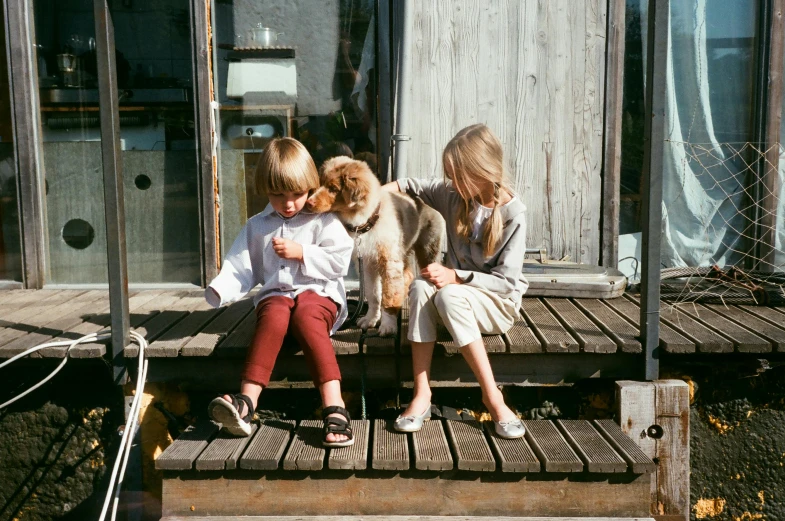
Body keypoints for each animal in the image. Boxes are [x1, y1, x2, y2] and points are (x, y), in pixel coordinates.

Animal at [304, 156, 440, 336]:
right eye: (320, 183)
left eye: (333, 189)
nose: (308, 202)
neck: (365, 224)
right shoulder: (366, 263)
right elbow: (373, 293)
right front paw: (370, 319)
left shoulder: (388, 262)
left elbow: (388, 294)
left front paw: (388, 326)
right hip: (402, 251)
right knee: (408, 275)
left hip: (427, 249)